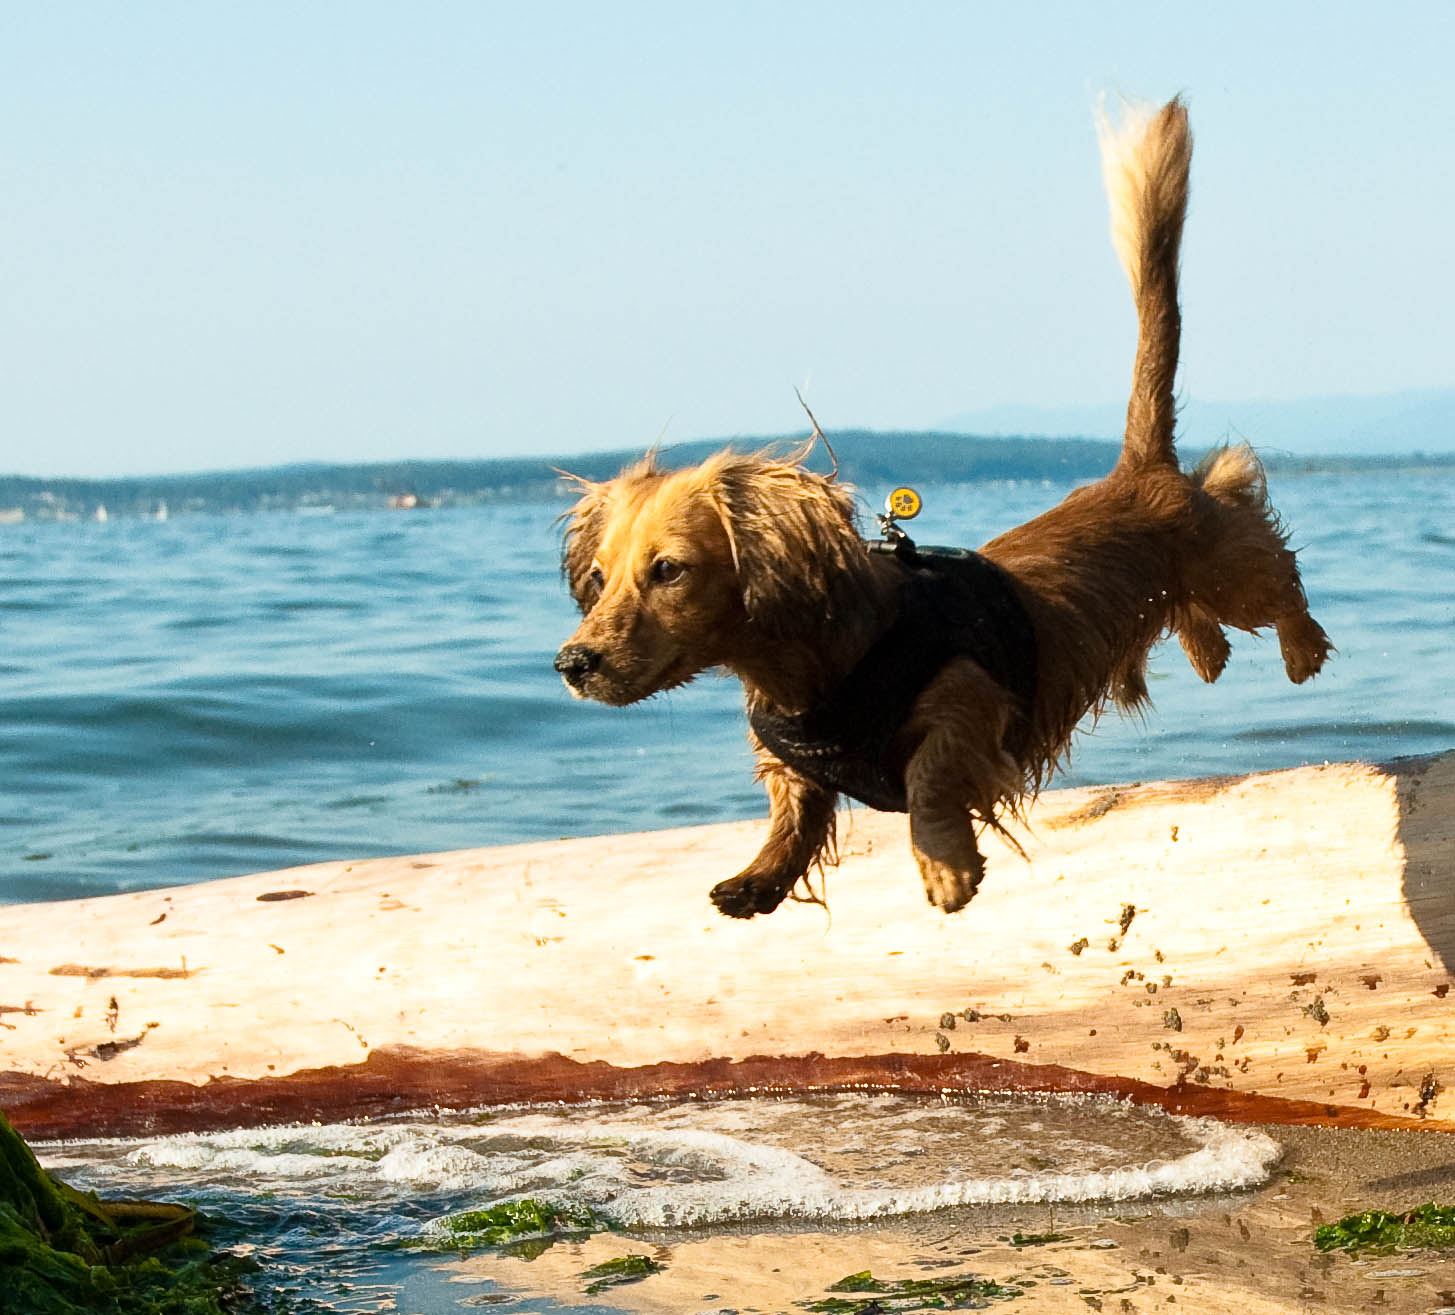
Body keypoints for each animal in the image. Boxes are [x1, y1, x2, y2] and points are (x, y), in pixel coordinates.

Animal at [552, 100, 1332, 913]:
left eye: (669, 570)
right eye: (598, 579)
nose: (571, 664)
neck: (823, 665)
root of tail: (1139, 467)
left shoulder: (971, 705)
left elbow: (929, 777)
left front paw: (946, 863)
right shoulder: (796, 763)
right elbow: (792, 806)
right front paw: (758, 877)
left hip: (1228, 565)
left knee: (1267, 563)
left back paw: (1301, 646)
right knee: (1194, 605)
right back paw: (1209, 652)